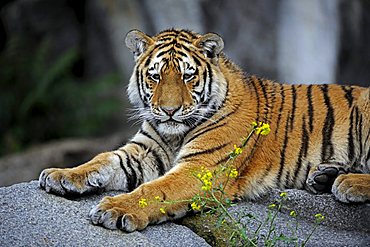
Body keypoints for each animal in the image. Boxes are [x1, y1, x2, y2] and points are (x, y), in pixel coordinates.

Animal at [38, 28, 370, 232]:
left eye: (187, 76)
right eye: (155, 76)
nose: (169, 110)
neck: (175, 133)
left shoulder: (202, 168)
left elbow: (154, 189)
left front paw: (115, 209)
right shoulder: (144, 151)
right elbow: (102, 159)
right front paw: (61, 175)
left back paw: (347, 183)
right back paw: (324, 176)